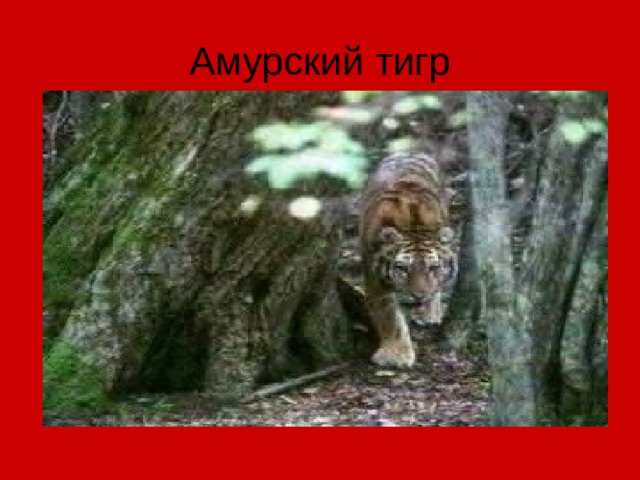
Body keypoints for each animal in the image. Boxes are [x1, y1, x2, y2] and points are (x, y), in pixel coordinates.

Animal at [359, 153, 457, 368]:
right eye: (402, 268)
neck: (414, 227)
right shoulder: (375, 278)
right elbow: (388, 316)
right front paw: (396, 354)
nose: (419, 296)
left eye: (434, 267)